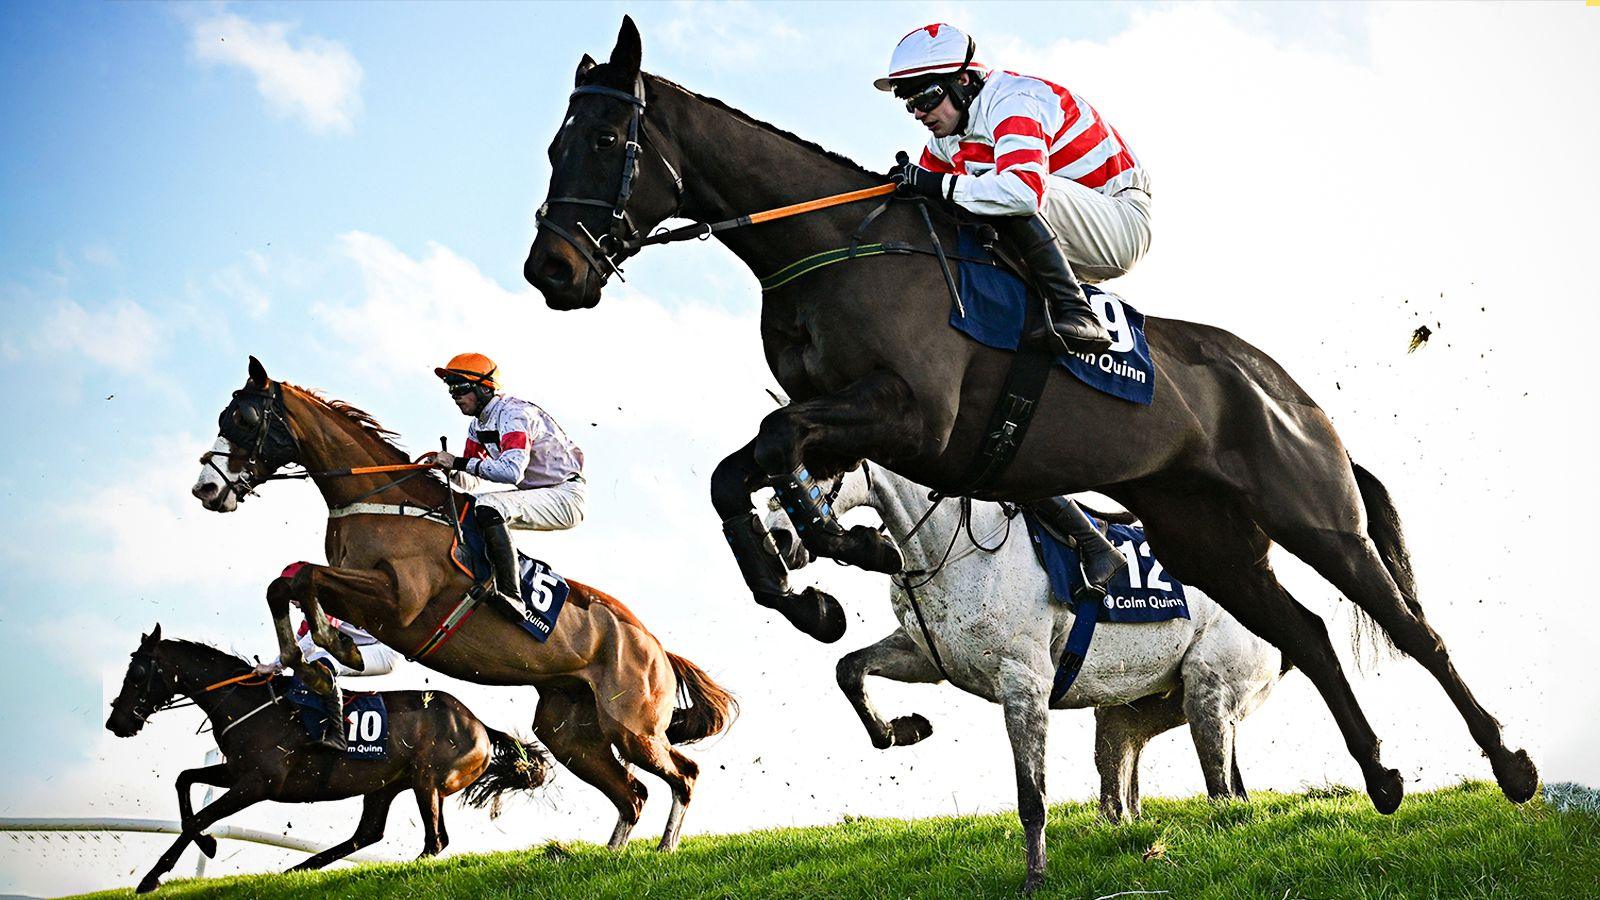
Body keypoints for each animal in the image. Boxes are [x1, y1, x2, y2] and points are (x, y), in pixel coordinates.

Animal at [108, 624, 550, 890]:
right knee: (366, 834)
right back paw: (294, 871)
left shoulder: (258, 783)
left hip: (426, 780)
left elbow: (201, 816)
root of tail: (479, 724)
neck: (247, 703)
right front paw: (206, 847)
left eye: (137, 673)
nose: (116, 722)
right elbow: (184, 780)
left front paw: (153, 877)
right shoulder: (237, 772)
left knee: (435, 840)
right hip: (383, 785)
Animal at [188, 355, 736, 845]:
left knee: (683, 774)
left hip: (632, 724)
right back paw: (614, 856)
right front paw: (305, 660)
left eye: (243, 419)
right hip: (570, 731)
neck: (381, 498)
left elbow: (301, 579)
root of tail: (656, 647)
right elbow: (289, 581)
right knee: (632, 793)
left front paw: (329, 652)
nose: (205, 488)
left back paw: (665, 850)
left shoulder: (398, 601)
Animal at [764, 461, 1286, 890]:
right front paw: (900, 729)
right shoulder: (926, 655)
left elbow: (1032, 795)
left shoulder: (1024, 682)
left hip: (1207, 694)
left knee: (1221, 788)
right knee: (1133, 764)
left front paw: (1036, 878)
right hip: (1133, 709)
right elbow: (848, 669)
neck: (949, 546)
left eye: (814, 470)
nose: (779, 542)